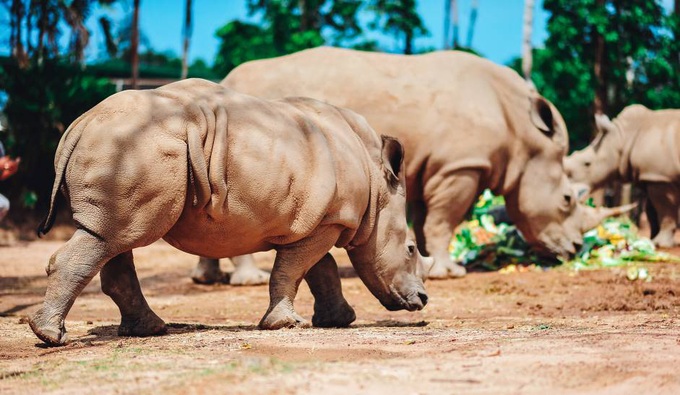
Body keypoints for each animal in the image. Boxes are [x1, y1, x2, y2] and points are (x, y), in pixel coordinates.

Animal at [30, 77, 430, 346]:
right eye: (411, 250)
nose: (423, 300)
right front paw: (287, 325)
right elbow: (296, 269)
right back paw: (51, 336)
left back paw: (150, 330)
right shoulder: (330, 220)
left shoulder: (317, 220)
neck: (377, 184)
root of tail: (80, 124)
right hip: (136, 147)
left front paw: (339, 320)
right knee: (113, 237)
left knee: (113, 237)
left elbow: (319, 269)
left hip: (125, 149)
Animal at [190, 46, 620, 284]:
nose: (575, 249)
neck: (525, 137)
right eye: (567, 200)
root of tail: (228, 77)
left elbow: (427, 219)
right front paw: (451, 271)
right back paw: (248, 281)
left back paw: (207, 280)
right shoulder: (460, 166)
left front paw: (429, 264)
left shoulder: (434, 166)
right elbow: (446, 219)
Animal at [564, 105, 680, 248]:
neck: (622, 138)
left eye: (587, 163)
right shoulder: (651, 176)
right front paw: (651, 240)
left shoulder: (661, 178)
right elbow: (651, 211)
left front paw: (661, 244)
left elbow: (665, 210)